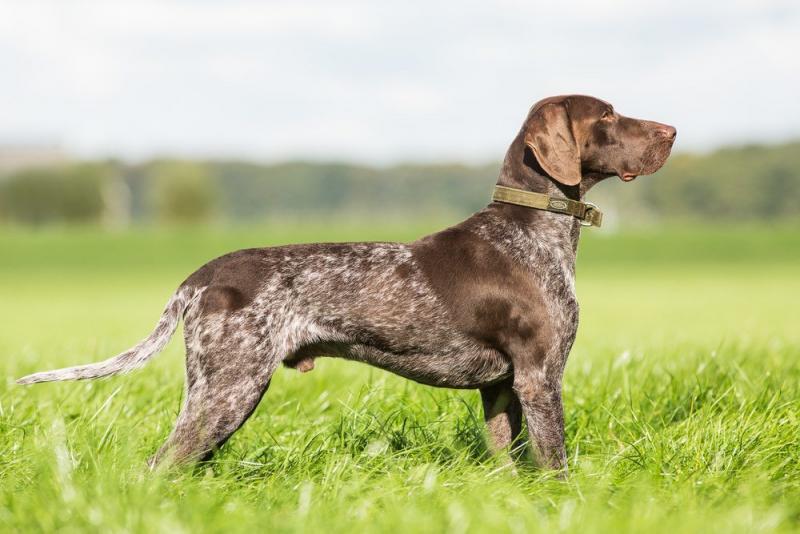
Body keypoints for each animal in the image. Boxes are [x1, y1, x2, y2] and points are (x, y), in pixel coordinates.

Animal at [17, 95, 676, 474]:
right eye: (607, 116)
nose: (671, 130)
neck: (533, 230)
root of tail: (202, 276)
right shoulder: (541, 377)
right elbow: (556, 463)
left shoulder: (501, 388)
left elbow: (509, 466)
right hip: (229, 389)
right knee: (161, 466)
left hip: (217, 391)